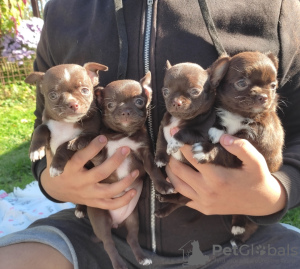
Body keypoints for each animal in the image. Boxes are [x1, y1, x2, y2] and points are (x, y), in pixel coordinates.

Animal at [76, 71, 172, 268]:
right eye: (110, 105)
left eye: (139, 101)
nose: (125, 111)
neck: (123, 135)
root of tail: (116, 222)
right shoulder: (99, 156)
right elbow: (94, 142)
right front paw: (82, 140)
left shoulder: (145, 153)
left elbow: (153, 170)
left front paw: (163, 185)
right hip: (100, 218)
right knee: (108, 244)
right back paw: (119, 264)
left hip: (133, 219)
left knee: (131, 238)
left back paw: (142, 258)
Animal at [154, 59, 229, 217]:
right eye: (165, 91)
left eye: (195, 92)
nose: (176, 101)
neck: (178, 119)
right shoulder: (163, 126)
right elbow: (161, 141)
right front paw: (160, 158)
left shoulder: (201, 135)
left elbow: (184, 132)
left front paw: (174, 142)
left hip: (187, 194)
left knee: (179, 201)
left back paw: (164, 209)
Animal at [192, 51, 284, 242]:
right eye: (242, 83)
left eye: (273, 86)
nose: (263, 96)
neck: (240, 115)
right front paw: (217, 130)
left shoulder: (252, 144)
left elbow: (225, 150)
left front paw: (205, 150)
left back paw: (239, 228)